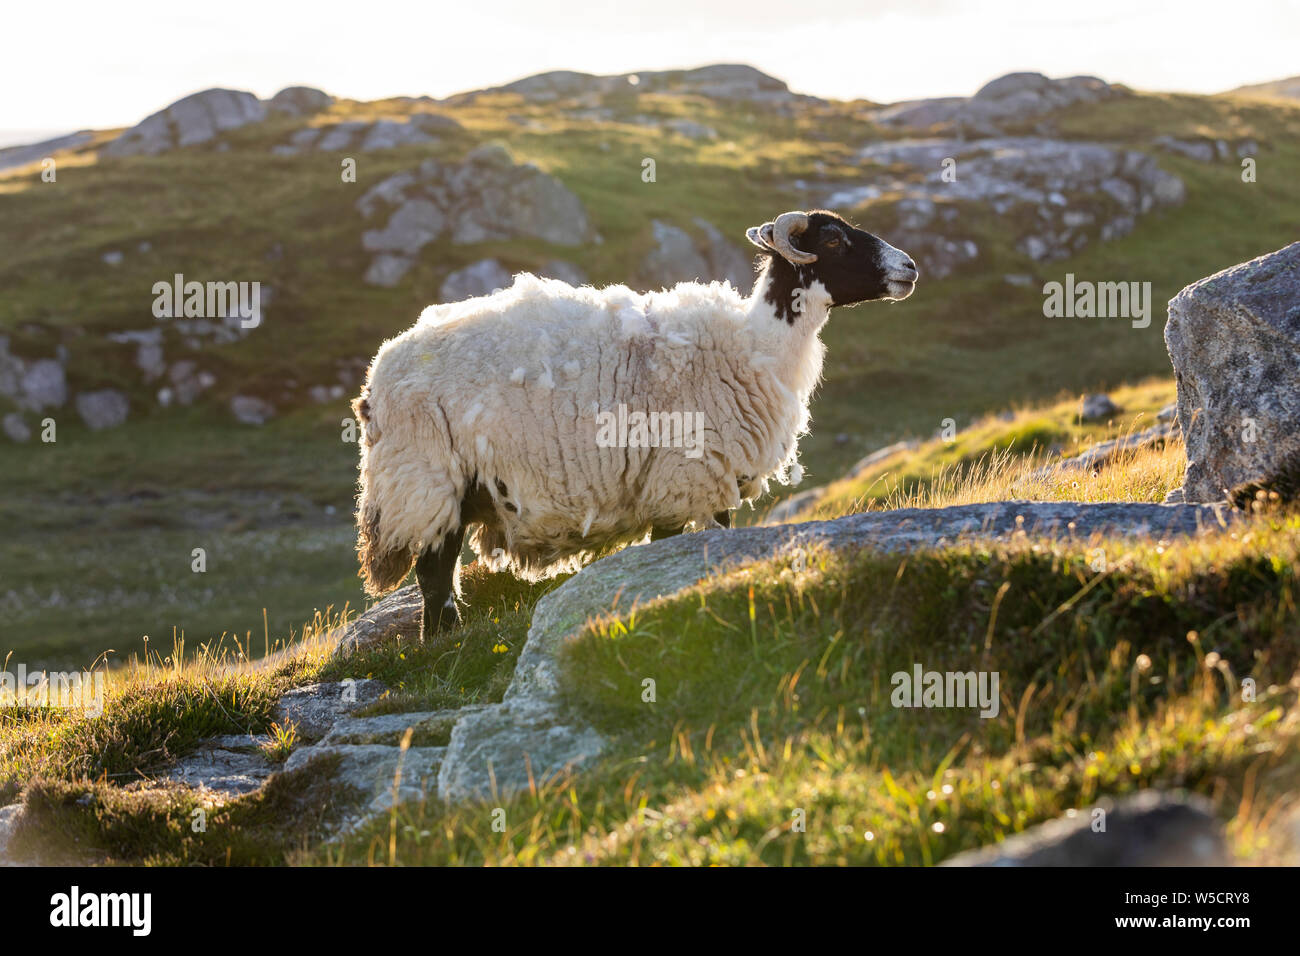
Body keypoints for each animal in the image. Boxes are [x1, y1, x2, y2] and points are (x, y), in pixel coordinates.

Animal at [351, 210, 920, 642]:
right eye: (833, 238)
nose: (911, 267)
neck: (756, 347)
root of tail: (376, 378)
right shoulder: (680, 477)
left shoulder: (712, 482)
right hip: (423, 478)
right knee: (433, 575)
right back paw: (439, 645)